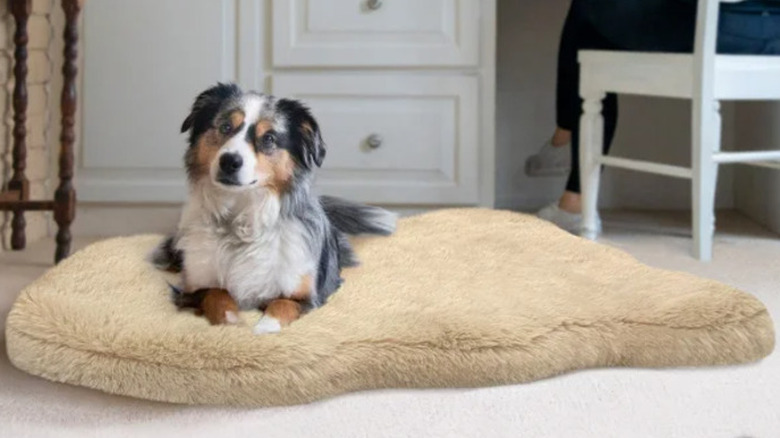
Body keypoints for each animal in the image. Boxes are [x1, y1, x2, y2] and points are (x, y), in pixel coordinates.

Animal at [152, 84, 396, 334]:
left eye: (269, 138)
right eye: (225, 126)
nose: (229, 161)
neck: (241, 218)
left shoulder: (307, 295)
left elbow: (280, 306)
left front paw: (263, 330)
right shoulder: (192, 288)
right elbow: (218, 296)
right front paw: (233, 325)